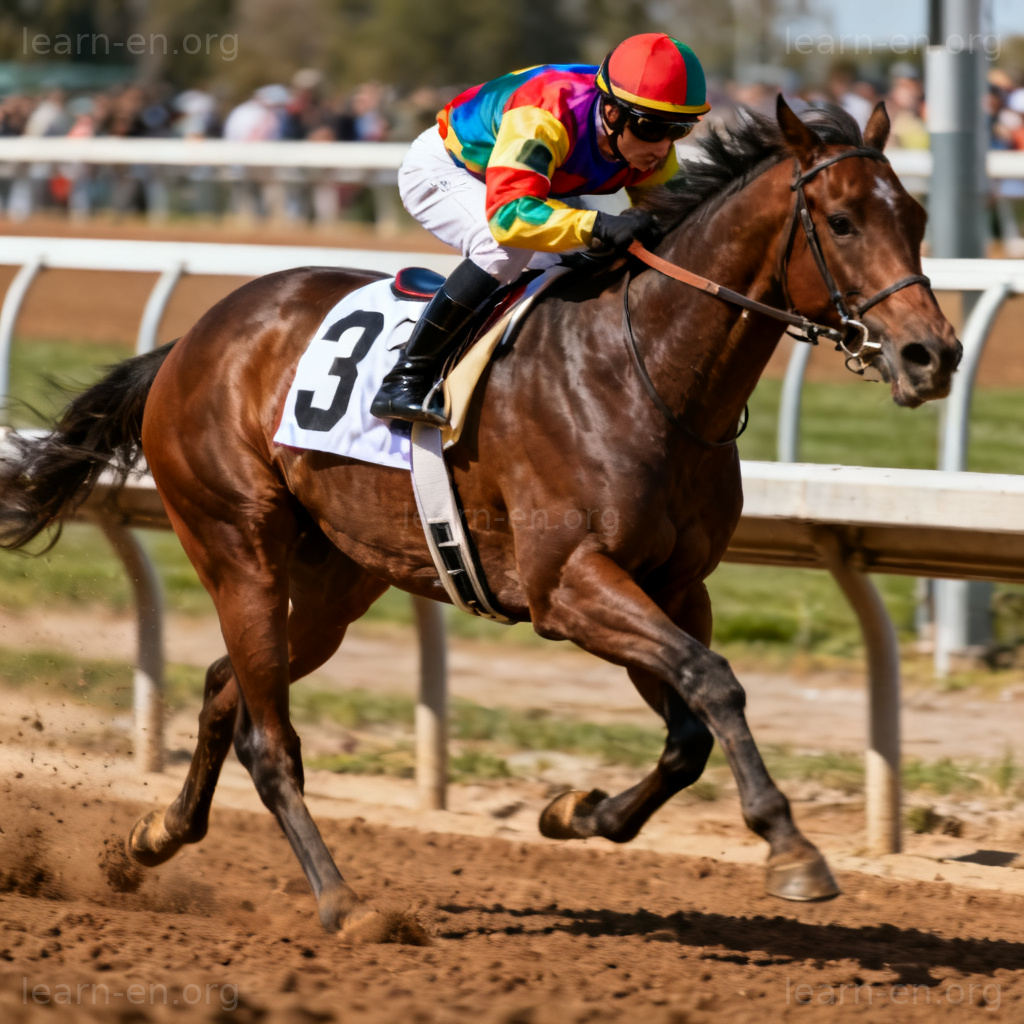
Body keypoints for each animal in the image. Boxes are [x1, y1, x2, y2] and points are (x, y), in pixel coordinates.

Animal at [0, 97, 961, 936]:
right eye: (841, 221)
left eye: (916, 215)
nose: (934, 355)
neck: (641, 367)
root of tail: (192, 339)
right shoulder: (567, 584)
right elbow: (715, 681)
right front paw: (791, 847)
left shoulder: (675, 585)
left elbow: (691, 723)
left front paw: (578, 811)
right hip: (236, 545)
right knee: (269, 740)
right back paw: (345, 903)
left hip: (335, 581)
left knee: (222, 688)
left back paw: (156, 837)